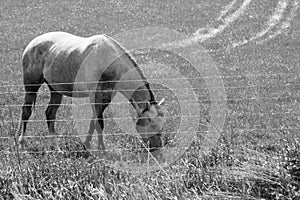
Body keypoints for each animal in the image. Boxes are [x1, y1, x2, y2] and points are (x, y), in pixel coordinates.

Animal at [17, 30, 165, 153]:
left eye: (162, 127)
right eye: (152, 125)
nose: (157, 148)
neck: (108, 62)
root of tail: (32, 43)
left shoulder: (105, 98)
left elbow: (93, 122)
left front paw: (86, 146)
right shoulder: (95, 96)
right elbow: (99, 123)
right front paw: (102, 150)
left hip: (55, 90)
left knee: (50, 114)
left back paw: (57, 148)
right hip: (32, 86)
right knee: (26, 111)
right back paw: (21, 143)